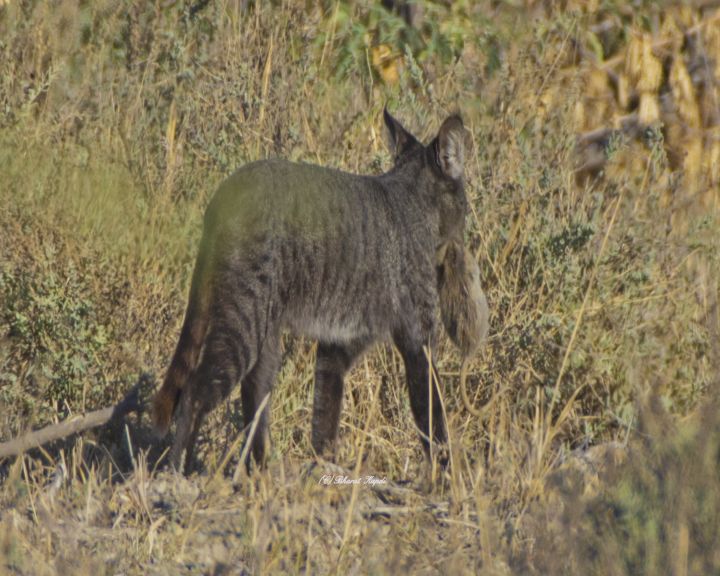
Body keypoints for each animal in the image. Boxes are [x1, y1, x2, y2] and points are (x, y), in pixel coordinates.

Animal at [152, 109, 490, 472]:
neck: (411, 199)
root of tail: (223, 193)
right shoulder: (418, 340)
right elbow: (432, 414)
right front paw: (447, 473)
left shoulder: (337, 345)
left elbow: (325, 414)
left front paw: (325, 466)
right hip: (244, 324)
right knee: (195, 391)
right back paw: (177, 471)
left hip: (266, 342)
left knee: (253, 403)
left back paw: (262, 472)